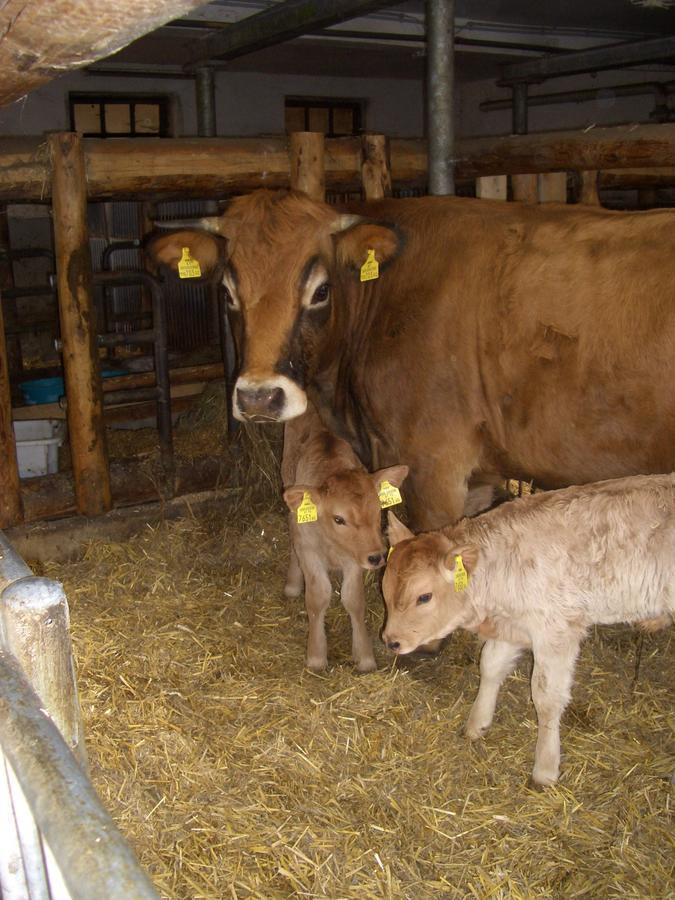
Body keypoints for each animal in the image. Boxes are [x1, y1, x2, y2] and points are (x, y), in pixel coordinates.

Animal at [382, 474, 672, 784]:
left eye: (424, 597)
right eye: (384, 586)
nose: (391, 641)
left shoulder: (557, 630)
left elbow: (546, 698)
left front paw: (545, 767)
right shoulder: (513, 624)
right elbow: (490, 665)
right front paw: (477, 723)